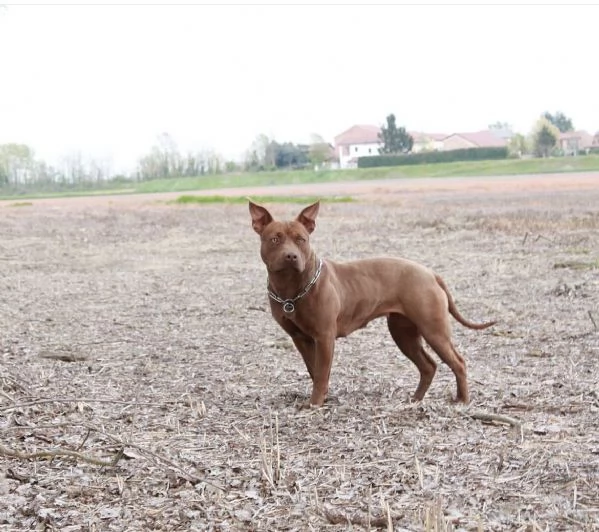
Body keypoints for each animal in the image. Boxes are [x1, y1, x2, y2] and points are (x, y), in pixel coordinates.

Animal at [248, 200, 496, 408]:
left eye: (301, 239)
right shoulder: (301, 338)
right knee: (428, 366)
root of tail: (429, 273)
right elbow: (314, 370)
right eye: (275, 239)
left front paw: (315, 404)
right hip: (403, 333)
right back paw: (415, 399)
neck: (291, 289)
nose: (291, 256)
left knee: (458, 362)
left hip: (433, 330)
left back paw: (462, 400)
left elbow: (320, 373)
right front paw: (322, 397)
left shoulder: (325, 337)